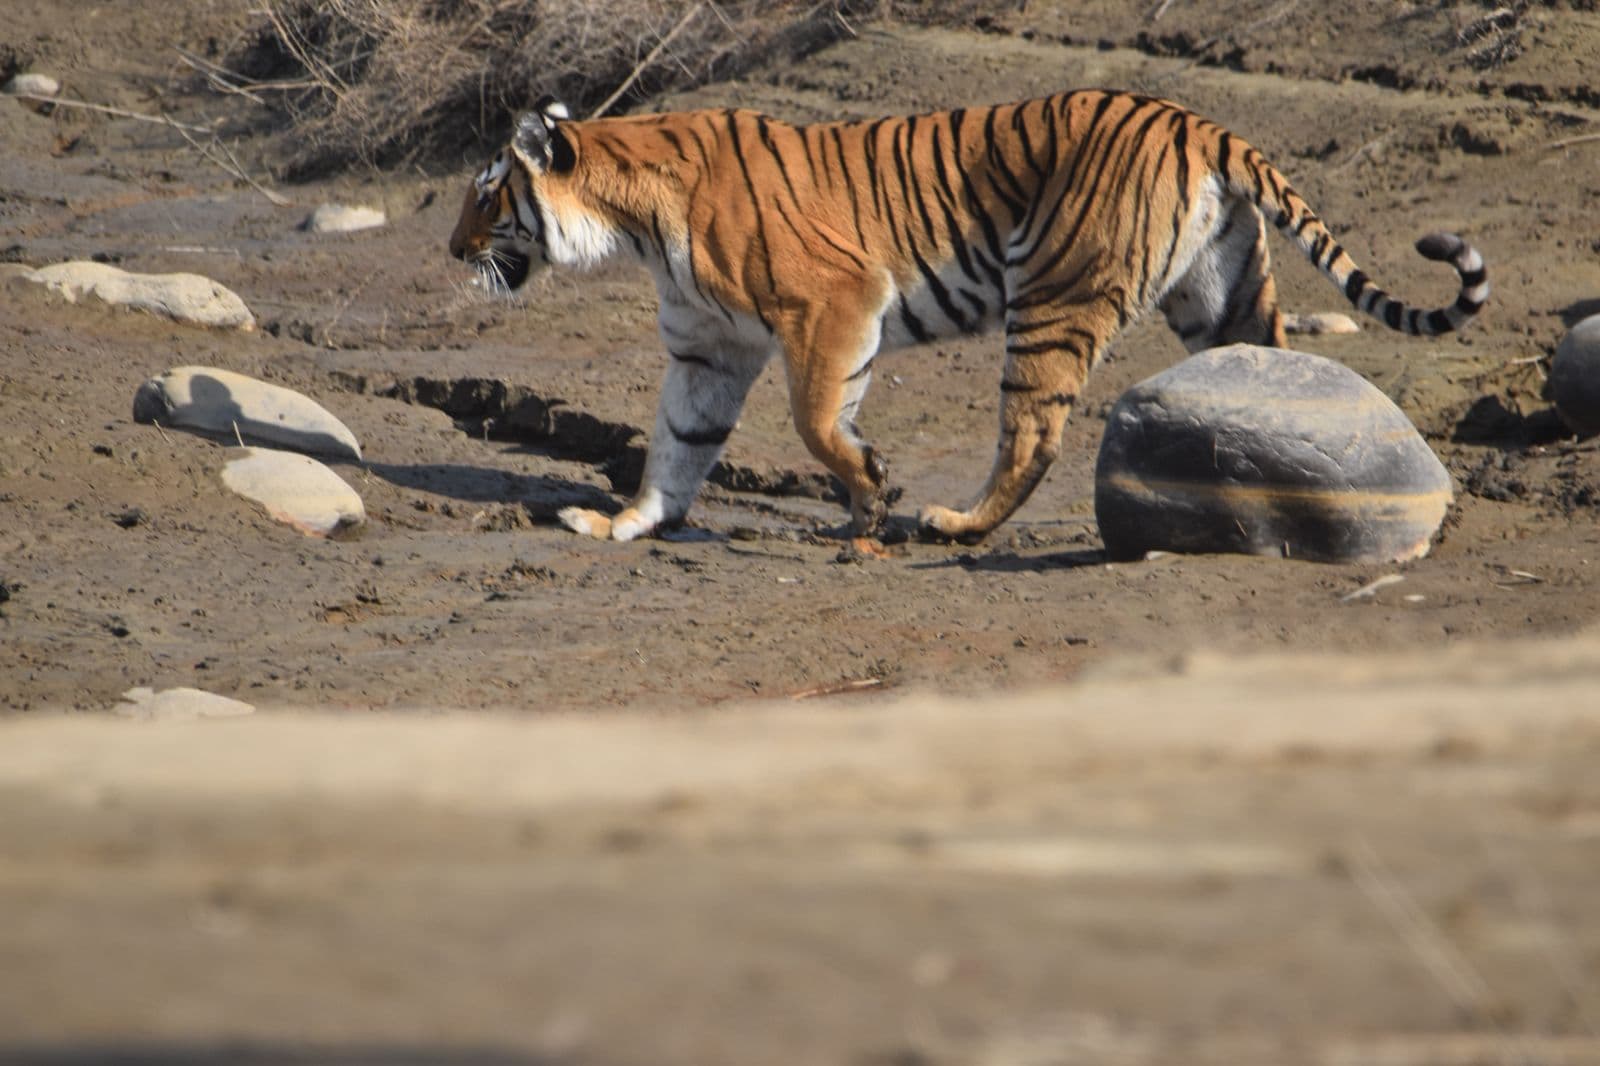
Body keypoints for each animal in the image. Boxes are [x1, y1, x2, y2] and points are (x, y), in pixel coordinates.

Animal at [449, 91, 1487, 544]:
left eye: (486, 196)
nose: (453, 251)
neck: (631, 220)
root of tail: (1196, 121)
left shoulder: (834, 300)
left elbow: (818, 421)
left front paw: (872, 494)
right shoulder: (709, 351)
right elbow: (675, 447)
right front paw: (624, 522)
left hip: (1052, 297)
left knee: (1033, 434)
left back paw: (958, 524)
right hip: (1222, 292)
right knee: (1271, 375)